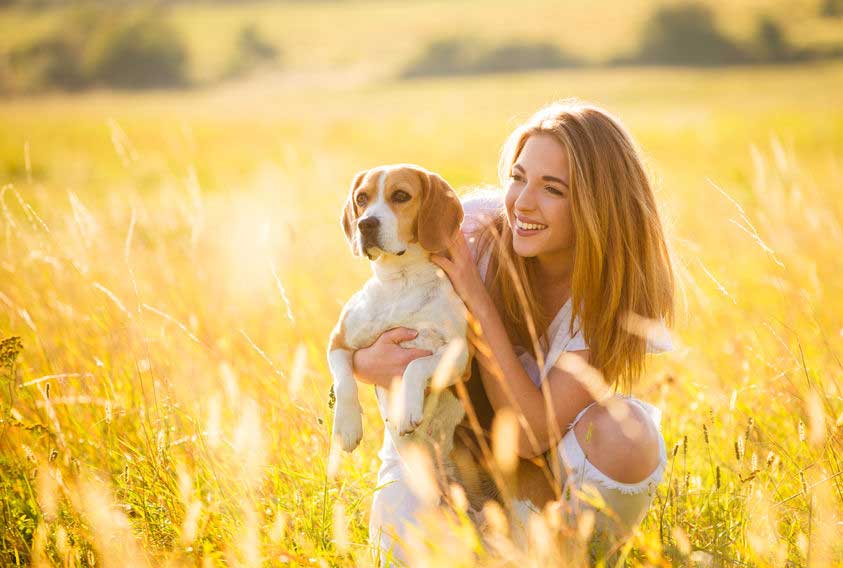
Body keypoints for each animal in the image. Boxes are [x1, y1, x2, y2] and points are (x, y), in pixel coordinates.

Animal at [328, 163, 472, 470]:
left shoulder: (460, 356)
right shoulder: (338, 342)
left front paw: (406, 410)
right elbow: (344, 381)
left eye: (401, 195)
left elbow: (415, 366)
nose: (365, 224)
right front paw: (347, 428)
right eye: (361, 198)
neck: (401, 281)